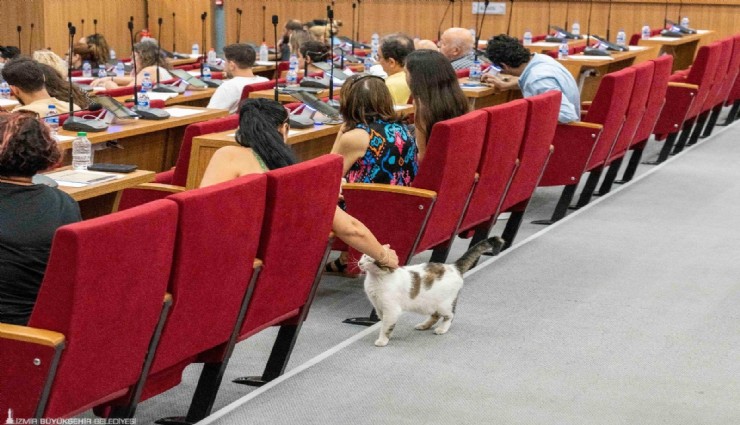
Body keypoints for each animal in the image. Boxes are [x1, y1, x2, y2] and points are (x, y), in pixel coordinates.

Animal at [356, 235, 502, 344]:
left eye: (370, 259)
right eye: (363, 256)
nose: (360, 263)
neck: (375, 280)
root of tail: (453, 266)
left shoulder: (391, 310)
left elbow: (386, 326)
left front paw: (382, 340)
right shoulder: (379, 307)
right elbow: (385, 324)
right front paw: (388, 335)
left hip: (444, 304)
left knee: (450, 316)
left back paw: (442, 329)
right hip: (430, 304)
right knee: (435, 316)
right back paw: (423, 325)